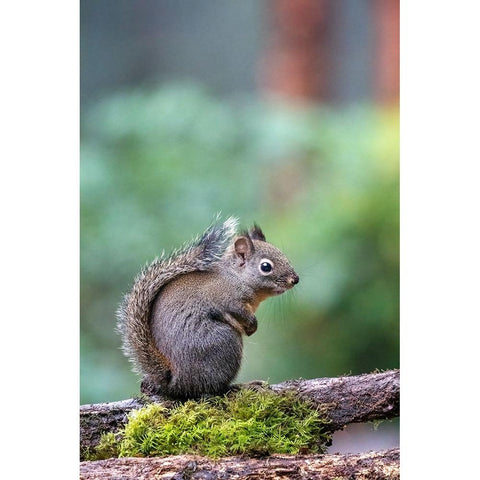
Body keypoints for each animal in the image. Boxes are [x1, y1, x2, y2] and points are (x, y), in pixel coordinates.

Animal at [116, 217, 298, 398]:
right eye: (266, 267)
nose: (295, 279)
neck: (236, 277)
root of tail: (175, 383)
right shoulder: (227, 298)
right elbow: (238, 311)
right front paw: (253, 325)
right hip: (224, 342)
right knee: (214, 388)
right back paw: (242, 386)